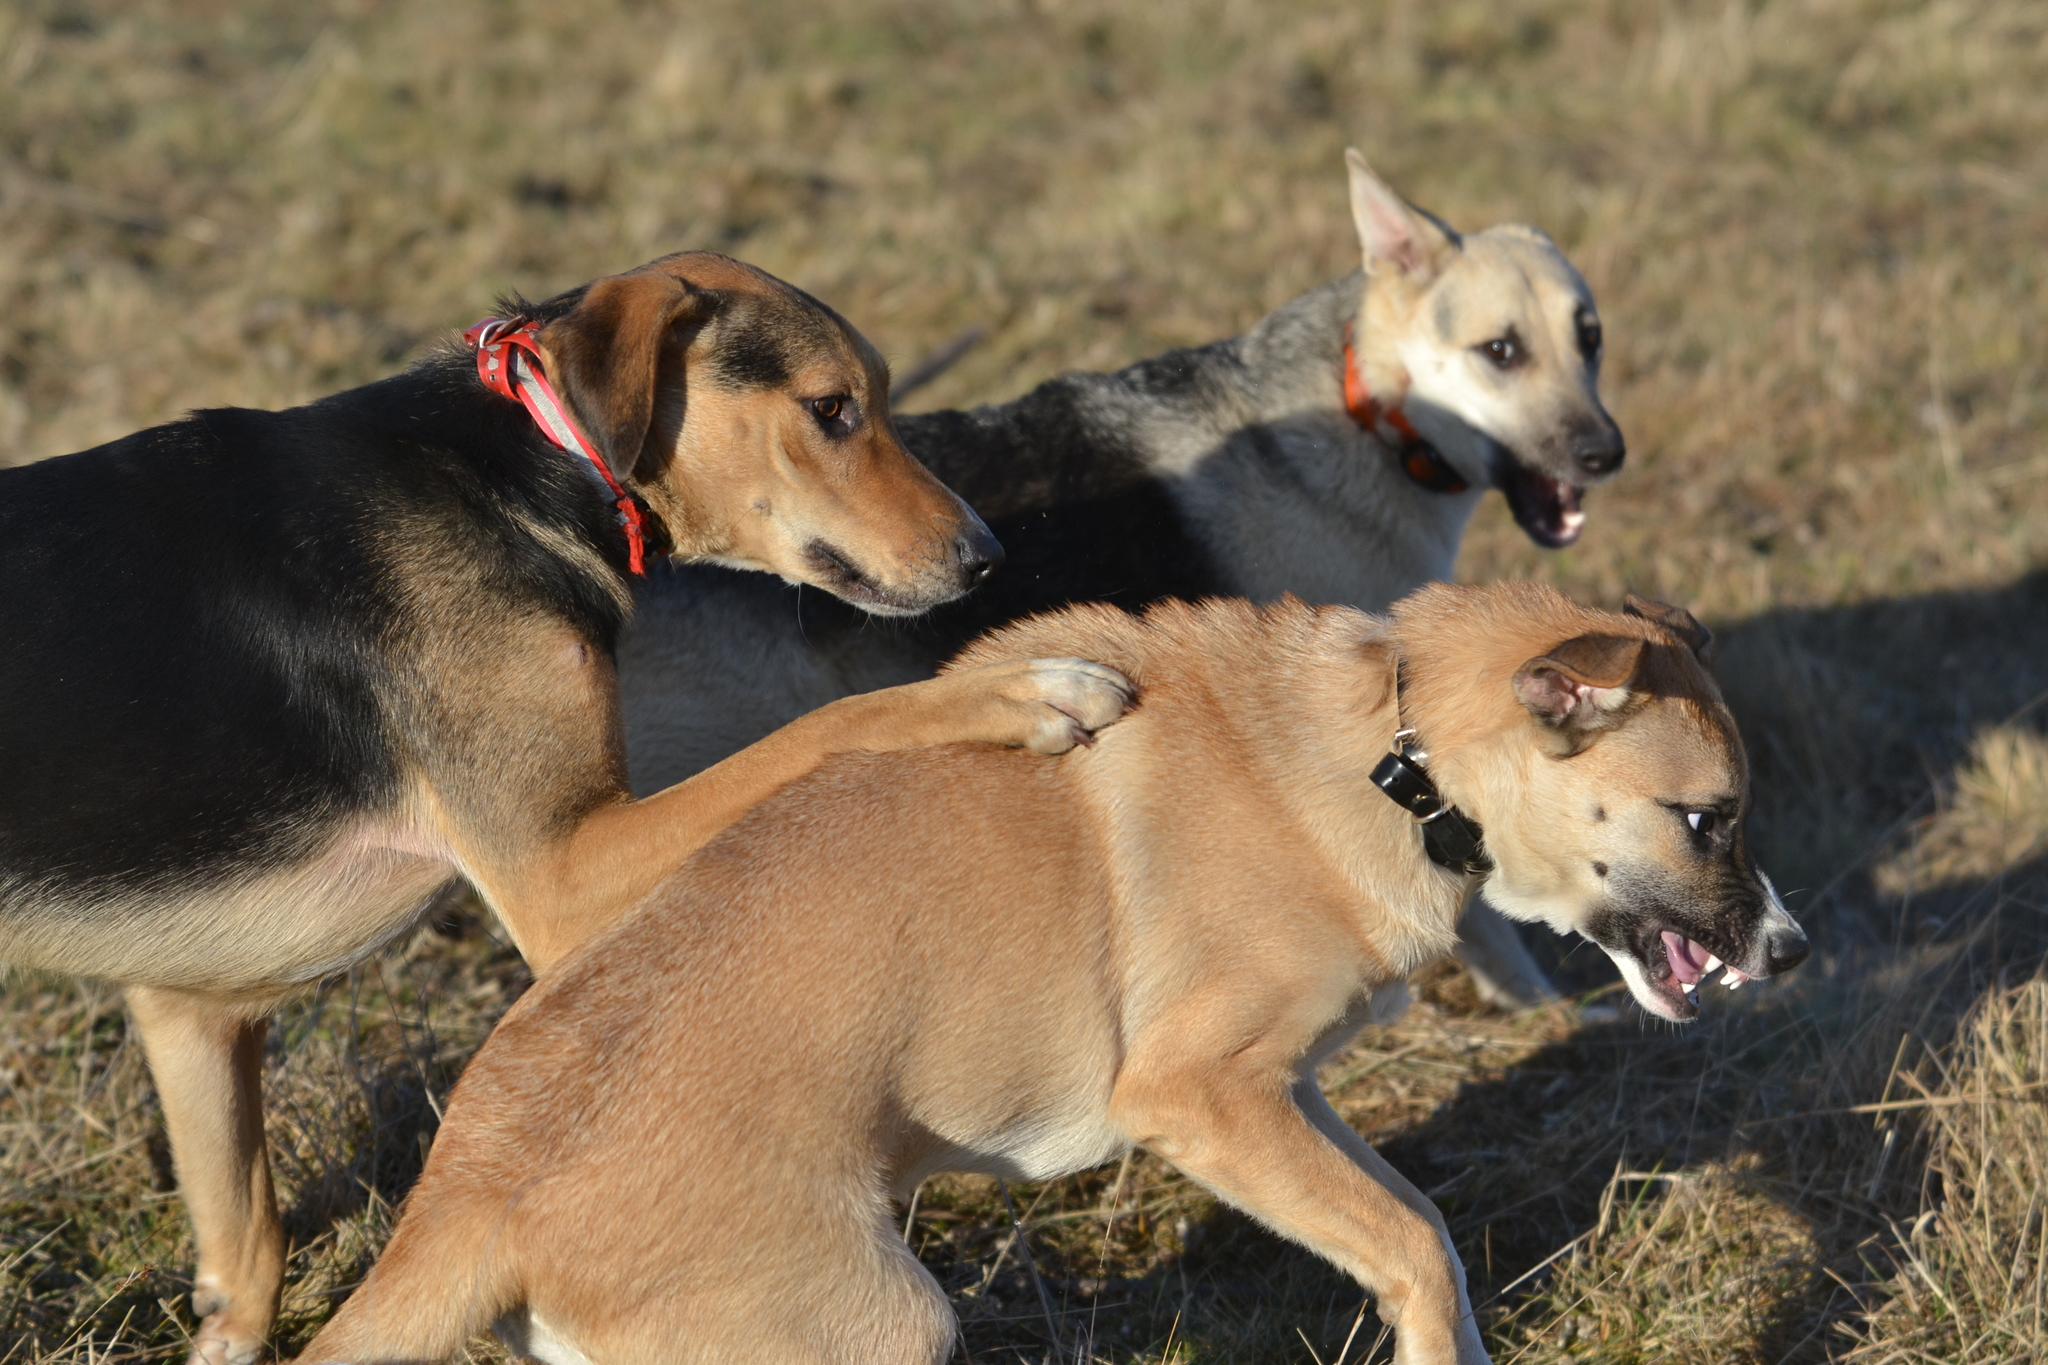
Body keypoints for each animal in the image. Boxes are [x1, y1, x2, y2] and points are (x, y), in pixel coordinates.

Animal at [0, 250, 1138, 1358]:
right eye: (830, 408)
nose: (987, 557)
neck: (530, 464)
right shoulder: (561, 875)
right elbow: (828, 724)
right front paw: (1017, 690)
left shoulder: (192, 1008)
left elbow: (245, 1248)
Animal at [292, 589, 1810, 1365]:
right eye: (1709, 818)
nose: (1790, 951)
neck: (1391, 743)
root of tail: (477, 1191)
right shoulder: (1198, 1097)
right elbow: (1414, 1252)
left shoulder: (1278, 1101)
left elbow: (1418, 1223)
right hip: (878, 1330)